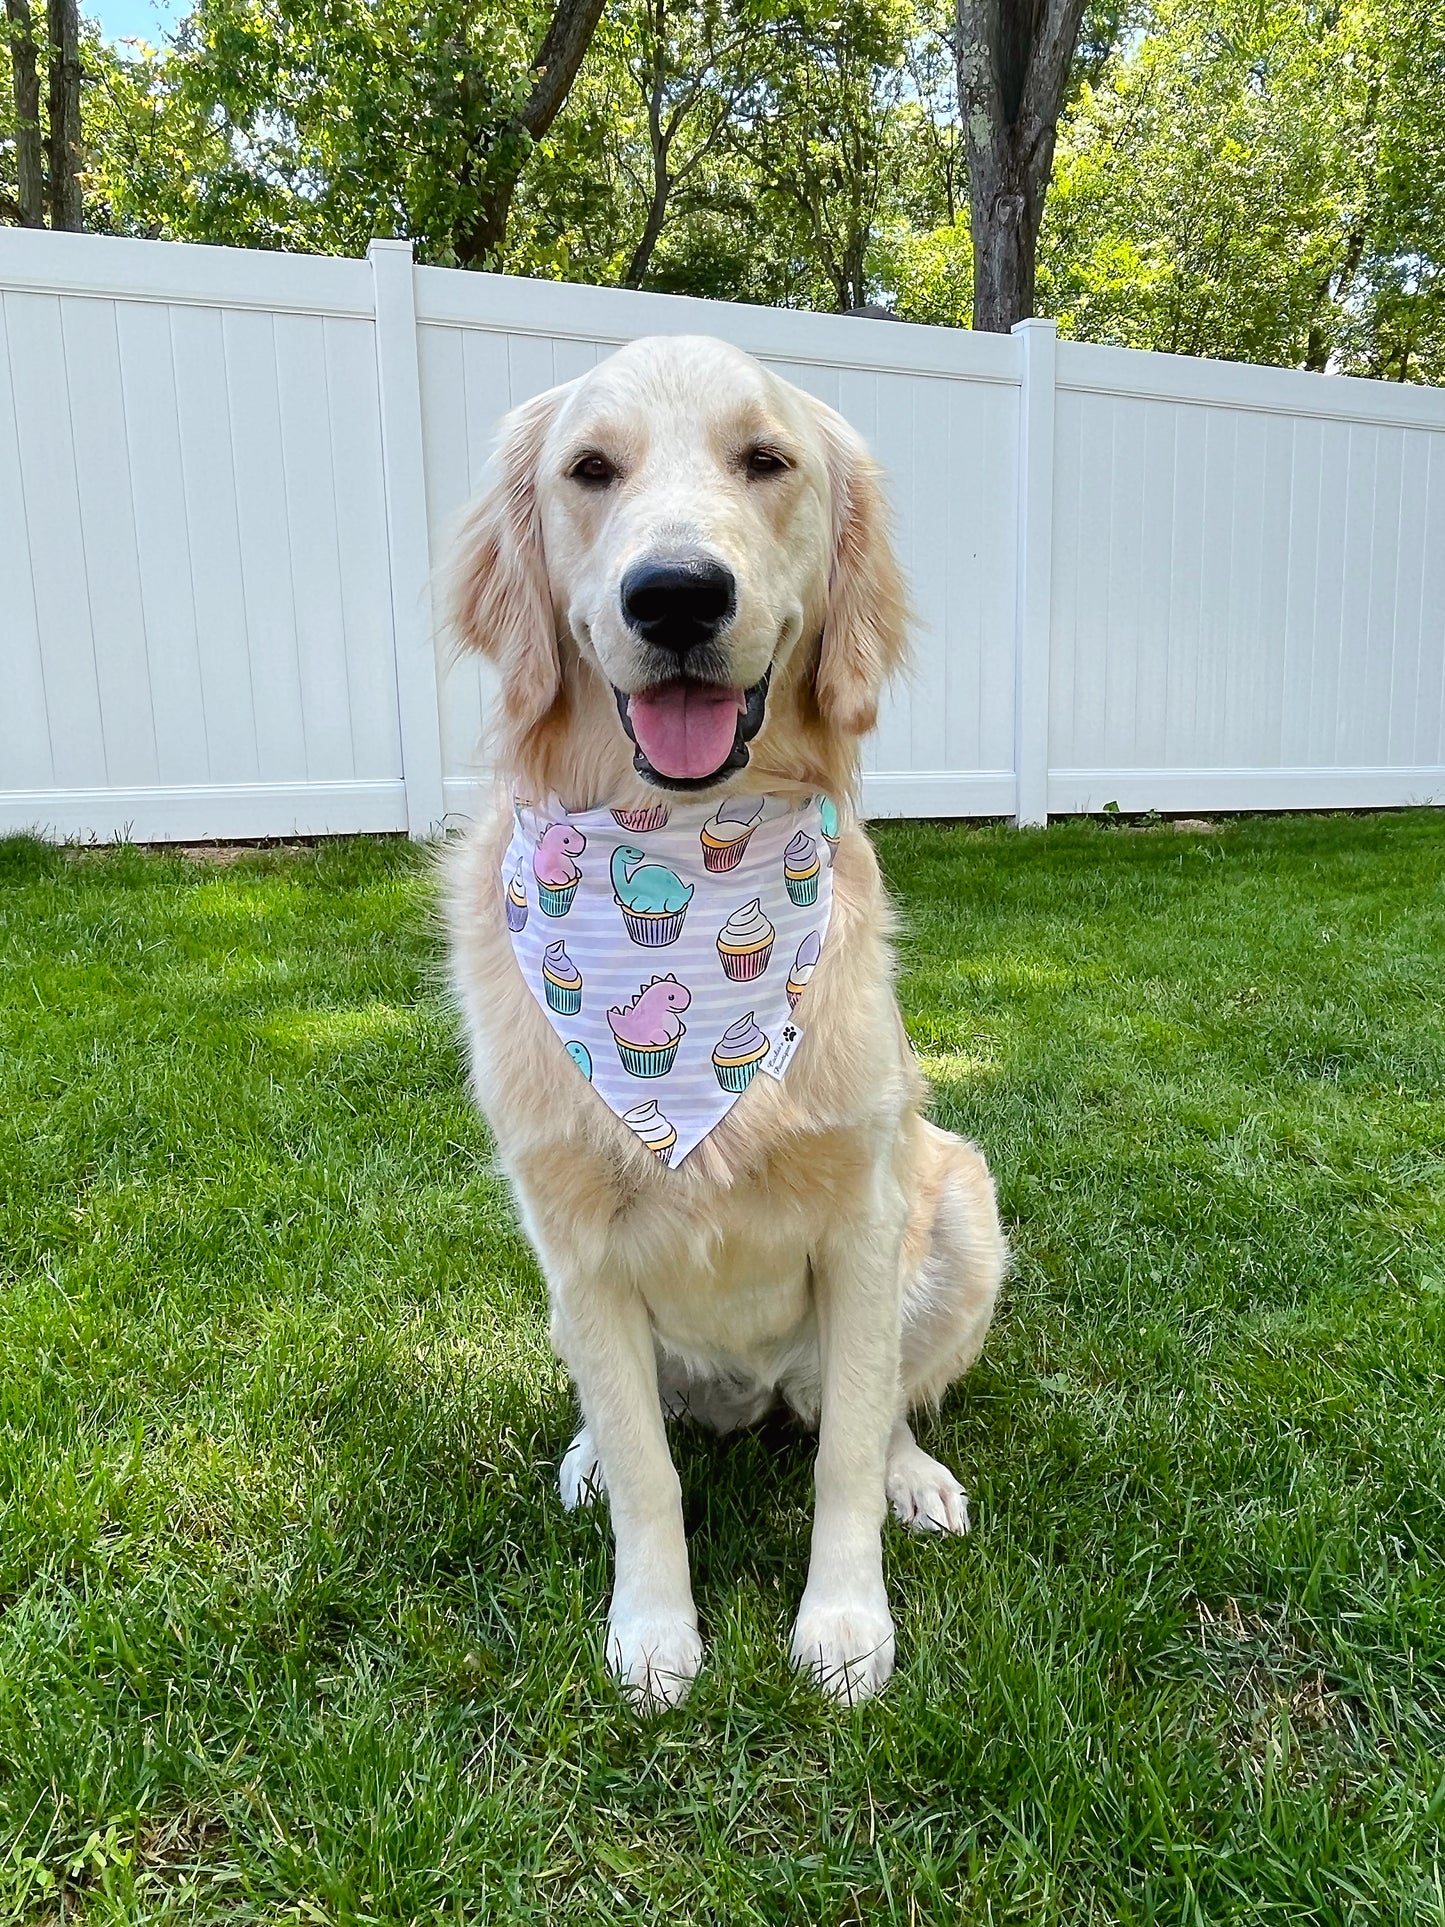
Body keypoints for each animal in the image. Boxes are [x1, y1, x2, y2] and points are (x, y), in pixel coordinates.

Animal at [445, 339, 1009, 1711]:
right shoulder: (575, 1244)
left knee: (882, 1401)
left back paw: (916, 1473)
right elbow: (650, 1478)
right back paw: (589, 1454)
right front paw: (653, 1630)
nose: (675, 597)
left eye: (767, 460)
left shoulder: (861, 1221)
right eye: (590, 469)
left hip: (958, 1210)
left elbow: (846, 1448)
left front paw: (845, 1622)